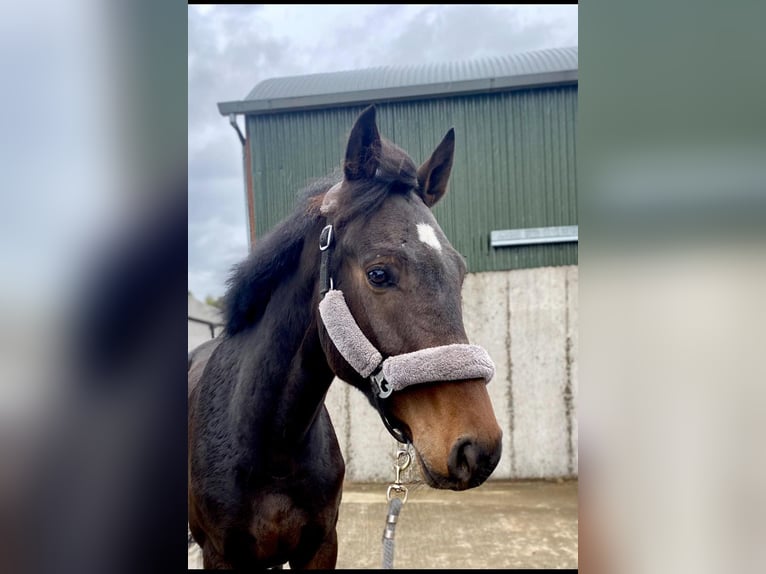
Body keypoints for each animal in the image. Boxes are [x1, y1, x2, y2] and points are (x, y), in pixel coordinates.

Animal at [190, 106, 504, 568]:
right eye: (379, 273)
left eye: (460, 273)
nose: (478, 448)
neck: (271, 447)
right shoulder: (220, 555)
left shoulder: (322, 545)